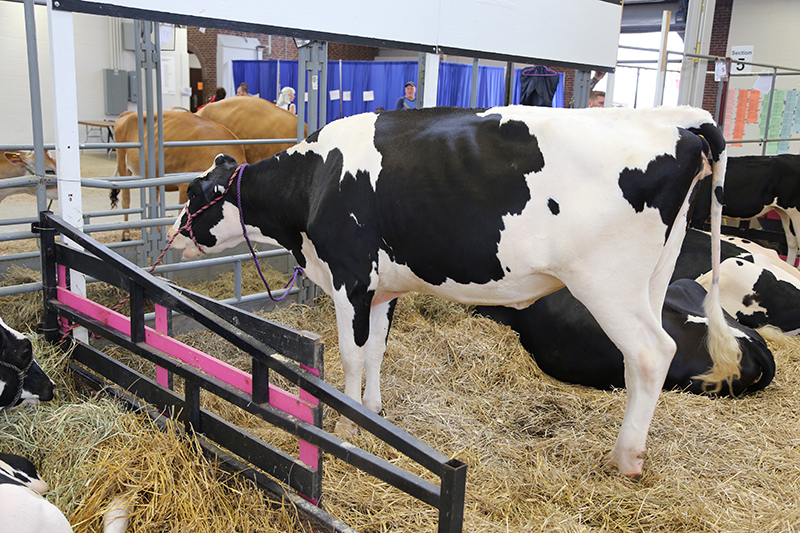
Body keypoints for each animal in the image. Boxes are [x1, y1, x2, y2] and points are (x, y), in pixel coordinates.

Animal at [169, 105, 736, 478]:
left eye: (194, 194)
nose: (175, 233)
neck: (316, 180)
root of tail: (678, 123)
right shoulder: (382, 287)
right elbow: (376, 350)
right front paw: (373, 412)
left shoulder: (351, 277)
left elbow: (352, 355)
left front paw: (349, 427)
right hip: (652, 279)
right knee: (645, 361)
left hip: (608, 282)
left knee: (650, 353)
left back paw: (625, 459)